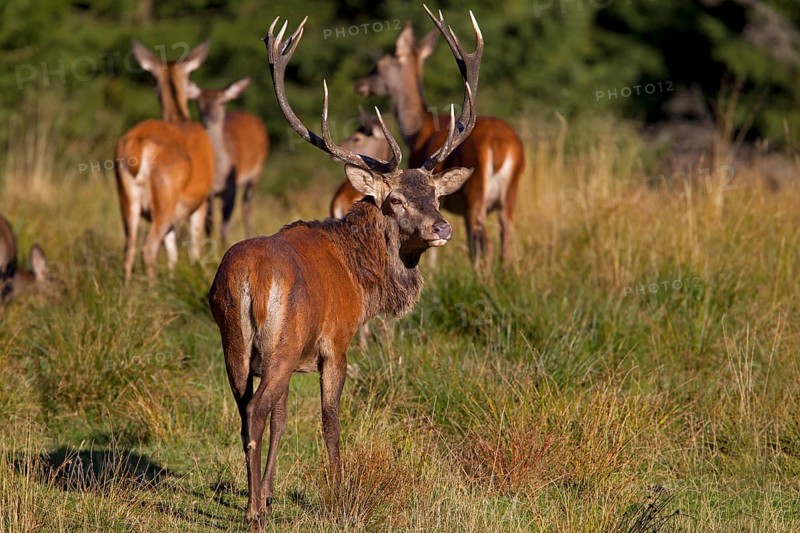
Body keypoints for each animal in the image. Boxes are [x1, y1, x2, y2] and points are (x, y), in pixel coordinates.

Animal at [114, 40, 215, 282]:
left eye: (152, 79)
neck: (179, 118)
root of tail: (138, 143)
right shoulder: (201, 200)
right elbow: (195, 248)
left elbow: (172, 253)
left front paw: (172, 278)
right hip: (165, 194)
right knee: (148, 247)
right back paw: (151, 288)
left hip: (127, 197)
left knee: (129, 246)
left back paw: (127, 287)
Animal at [187, 78, 270, 247]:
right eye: (199, 102)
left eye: (222, 102)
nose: (207, 119)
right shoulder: (208, 193)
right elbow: (209, 224)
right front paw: (209, 247)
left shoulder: (231, 188)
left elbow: (225, 223)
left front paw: (223, 246)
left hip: (257, 170)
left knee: (247, 207)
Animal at [208, 9, 481, 530]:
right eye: (395, 200)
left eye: (435, 195)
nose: (441, 227)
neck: (362, 280)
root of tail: (250, 280)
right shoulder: (335, 342)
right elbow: (330, 421)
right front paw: (339, 496)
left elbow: (283, 422)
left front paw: (271, 494)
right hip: (282, 339)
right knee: (255, 412)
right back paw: (252, 514)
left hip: (236, 343)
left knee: (245, 409)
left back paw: (257, 502)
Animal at [355, 9, 525, 267]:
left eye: (378, 65)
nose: (360, 84)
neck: (417, 131)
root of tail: (500, 144)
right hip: (511, 191)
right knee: (506, 235)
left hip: (476, 191)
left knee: (486, 239)